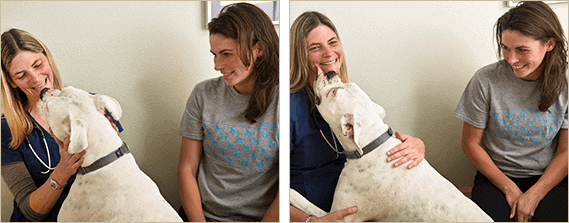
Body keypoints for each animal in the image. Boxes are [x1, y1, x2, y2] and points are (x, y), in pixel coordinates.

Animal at [288, 71, 492, 221]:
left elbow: (302, 200)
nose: (330, 72)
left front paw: (289, 193)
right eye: (346, 84)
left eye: (334, 92)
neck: (371, 144)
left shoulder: (338, 216)